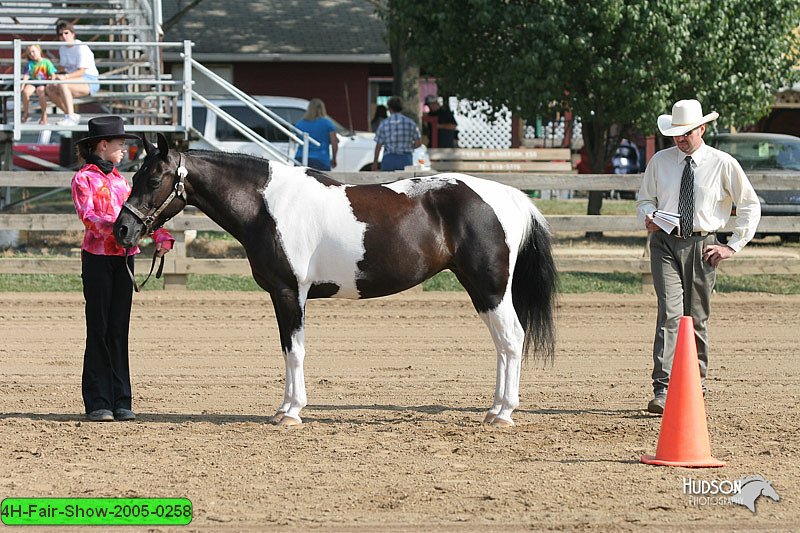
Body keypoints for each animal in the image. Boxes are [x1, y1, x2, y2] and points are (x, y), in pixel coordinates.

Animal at [114, 135, 556, 426]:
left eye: (153, 180)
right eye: (133, 177)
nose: (122, 230)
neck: (267, 206)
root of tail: (509, 196)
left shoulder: (289, 293)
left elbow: (294, 350)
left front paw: (291, 412)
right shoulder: (284, 296)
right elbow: (288, 349)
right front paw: (285, 408)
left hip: (490, 288)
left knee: (511, 339)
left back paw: (504, 413)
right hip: (481, 290)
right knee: (502, 344)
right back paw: (494, 409)